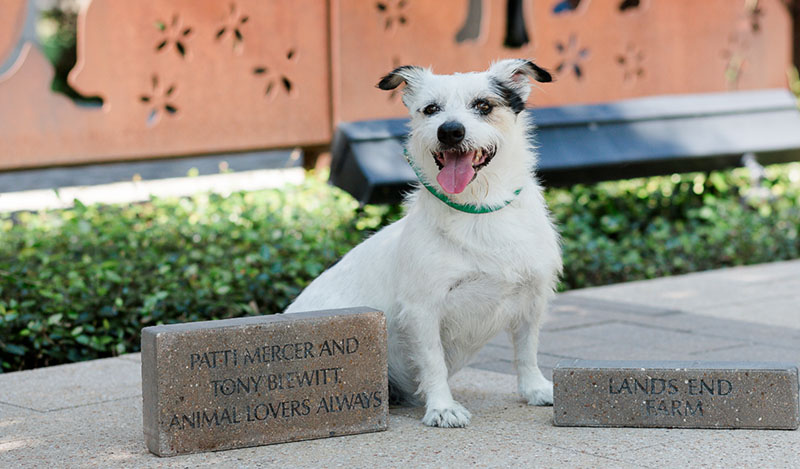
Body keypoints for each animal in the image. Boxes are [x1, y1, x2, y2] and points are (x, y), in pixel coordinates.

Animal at [284, 58, 560, 428]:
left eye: (483, 106)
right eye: (431, 110)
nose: (450, 131)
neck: (478, 210)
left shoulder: (532, 298)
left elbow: (527, 351)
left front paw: (535, 389)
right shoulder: (423, 309)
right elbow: (433, 362)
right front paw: (442, 407)